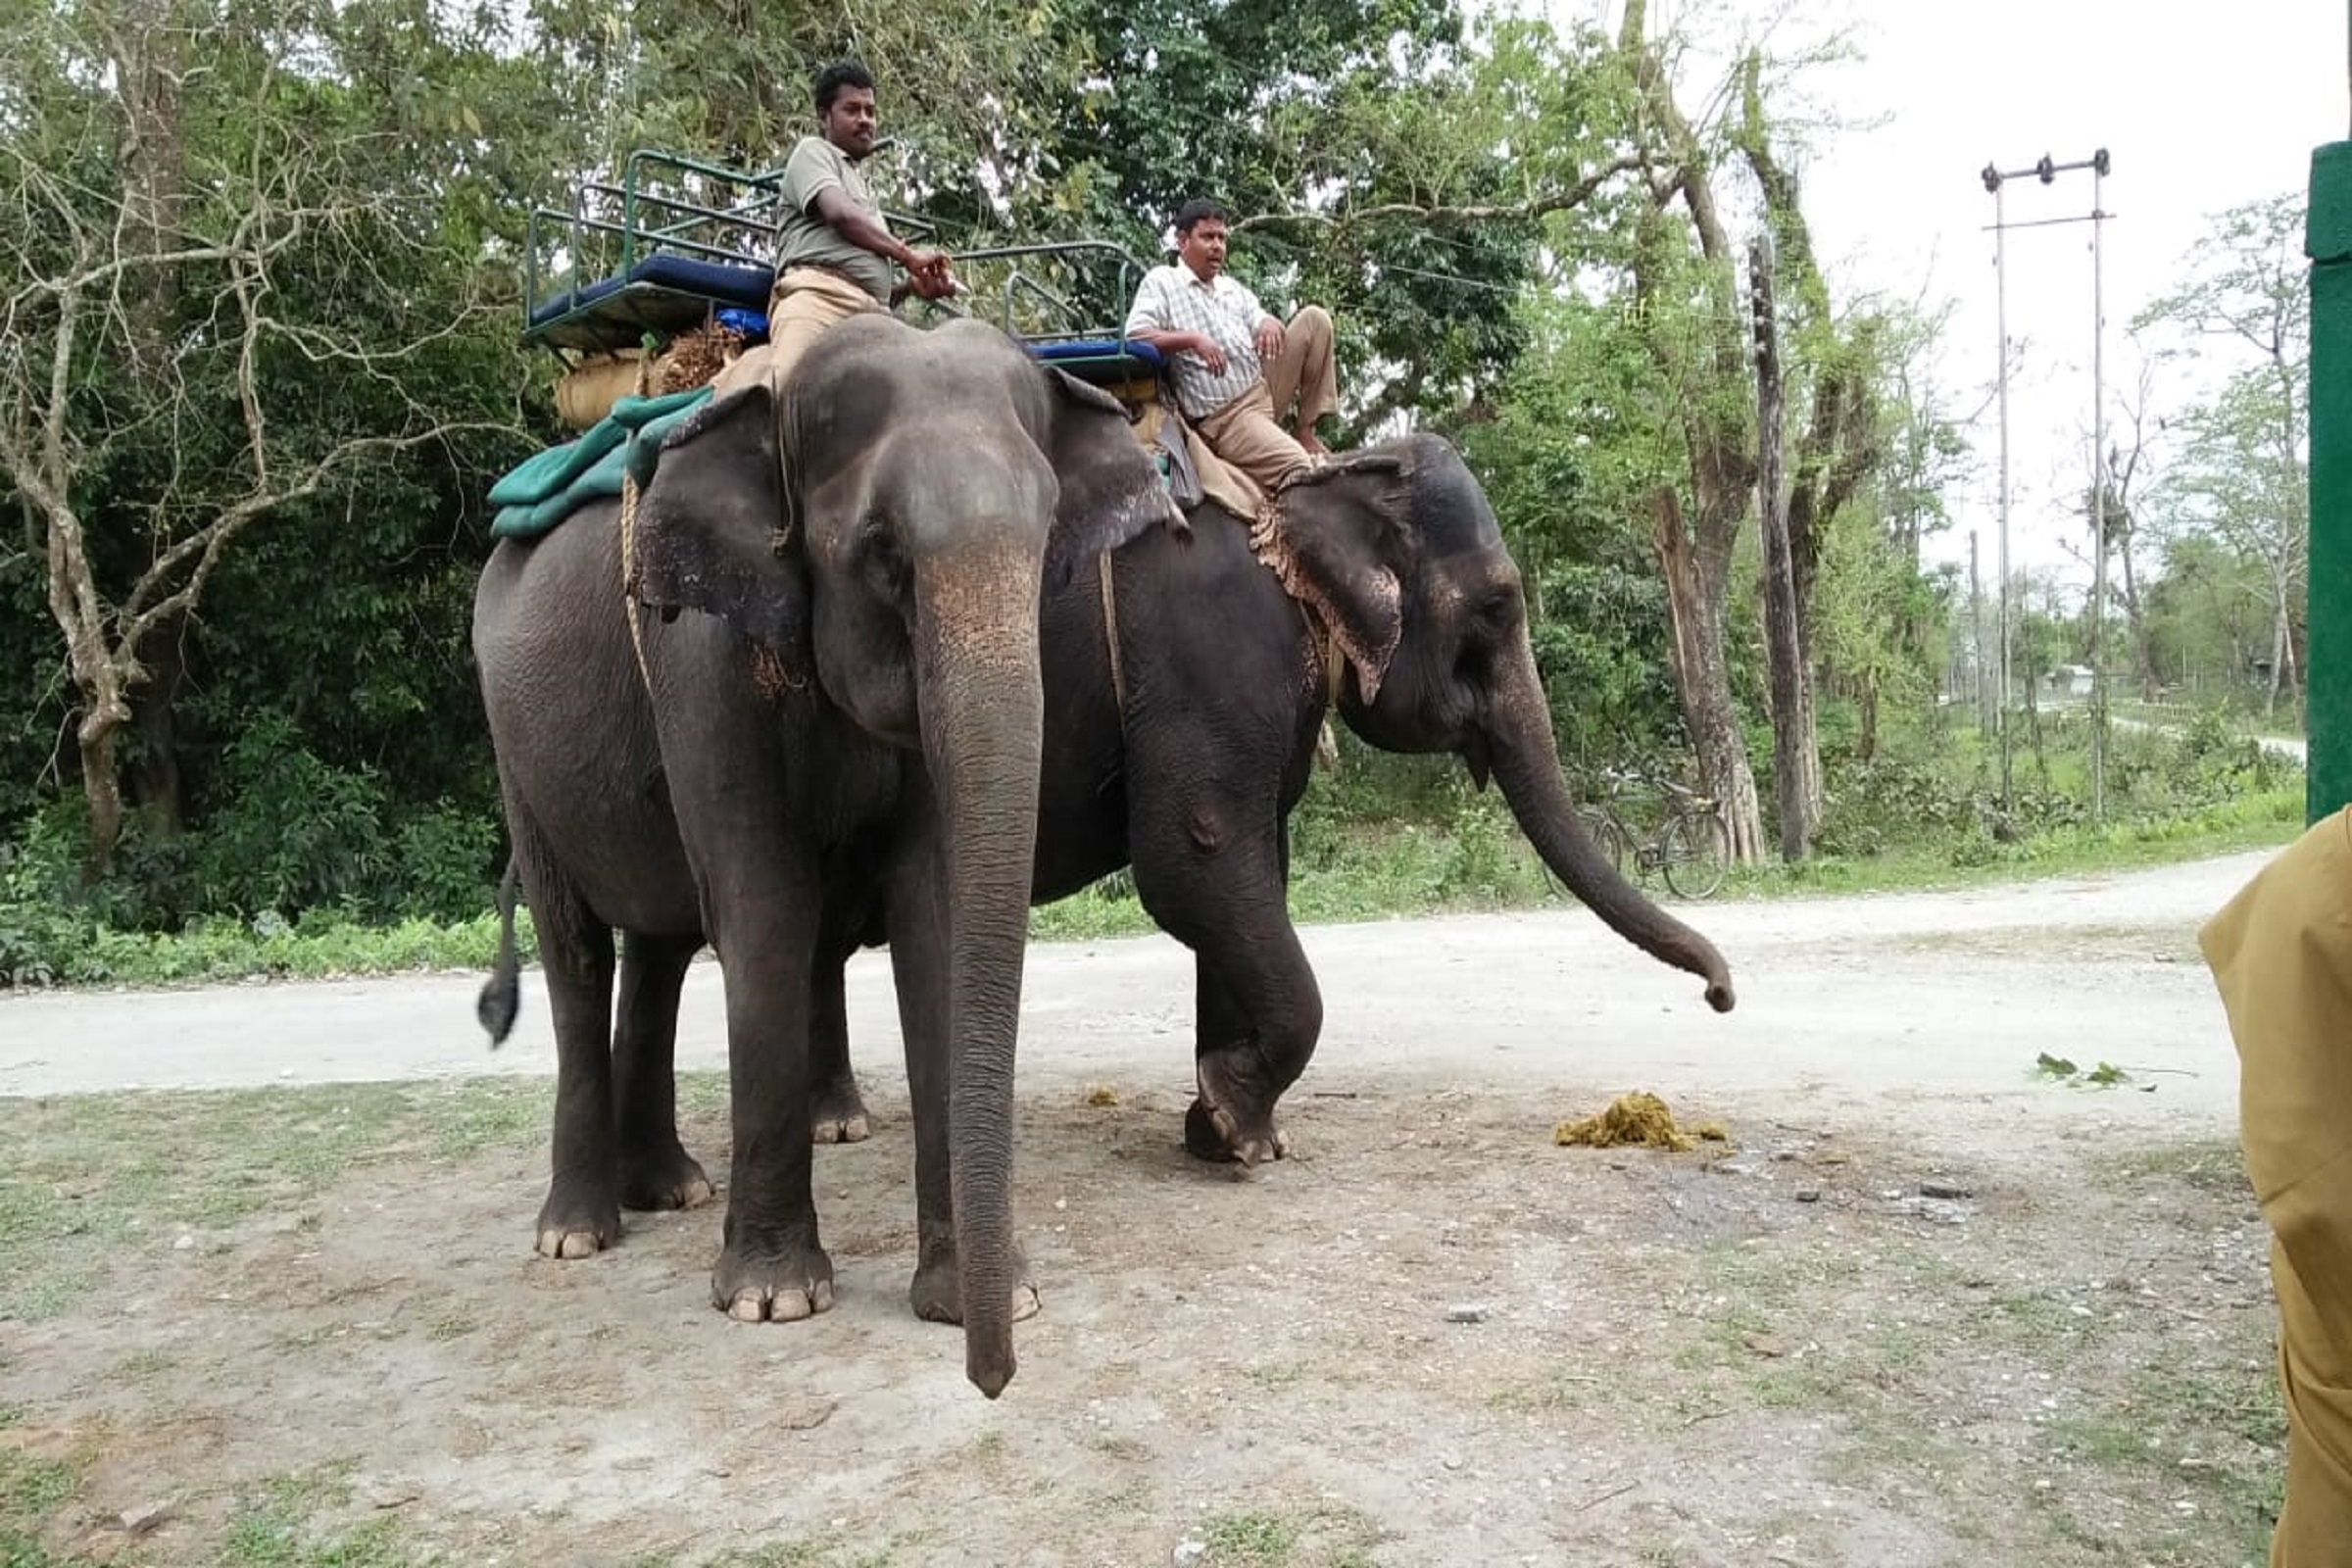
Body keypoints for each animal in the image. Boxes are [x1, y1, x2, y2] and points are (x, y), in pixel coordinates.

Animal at [472, 310, 1176, 1400]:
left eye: (1049, 534)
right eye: (880, 551)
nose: (992, 1381)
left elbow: (932, 913)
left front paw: (976, 1296)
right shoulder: (703, 653)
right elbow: (764, 907)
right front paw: (773, 1300)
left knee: (661, 949)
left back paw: (670, 1189)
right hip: (513, 745)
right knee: (580, 951)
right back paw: (578, 1234)